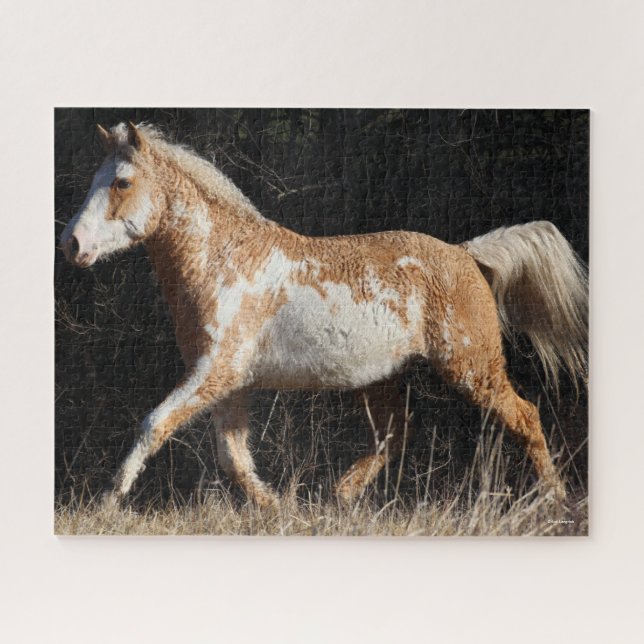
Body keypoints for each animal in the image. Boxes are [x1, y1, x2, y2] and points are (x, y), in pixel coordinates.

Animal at [59, 122, 588, 508]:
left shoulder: (216, 371)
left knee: (526, 417)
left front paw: (108, 501)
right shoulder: (229, 382)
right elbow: (234, 458)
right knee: (393, 434)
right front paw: (276, 509)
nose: (72, 244)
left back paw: (554, 501)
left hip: (473, 369)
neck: (223, 260)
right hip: (381, 378)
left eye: (122, 182)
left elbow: (154, 424)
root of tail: (465, 254)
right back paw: (340, 495)